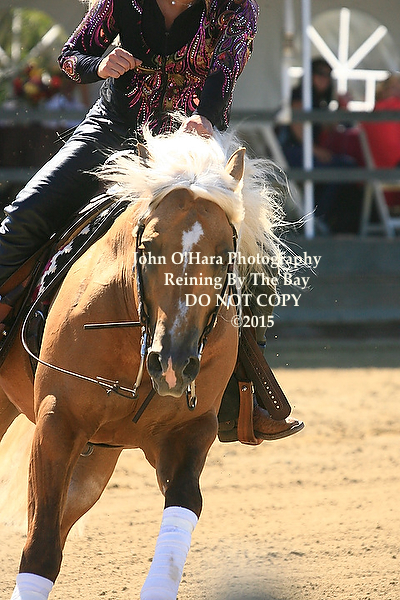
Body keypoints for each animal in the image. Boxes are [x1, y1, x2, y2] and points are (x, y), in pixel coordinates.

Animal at [0, 126, 287, 599]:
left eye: (224, 252)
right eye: (149, 246)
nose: (173, 363)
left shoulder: (190, 431)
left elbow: (184, 505)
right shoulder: (57, 422)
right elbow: (39, 547)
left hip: (95, 461)